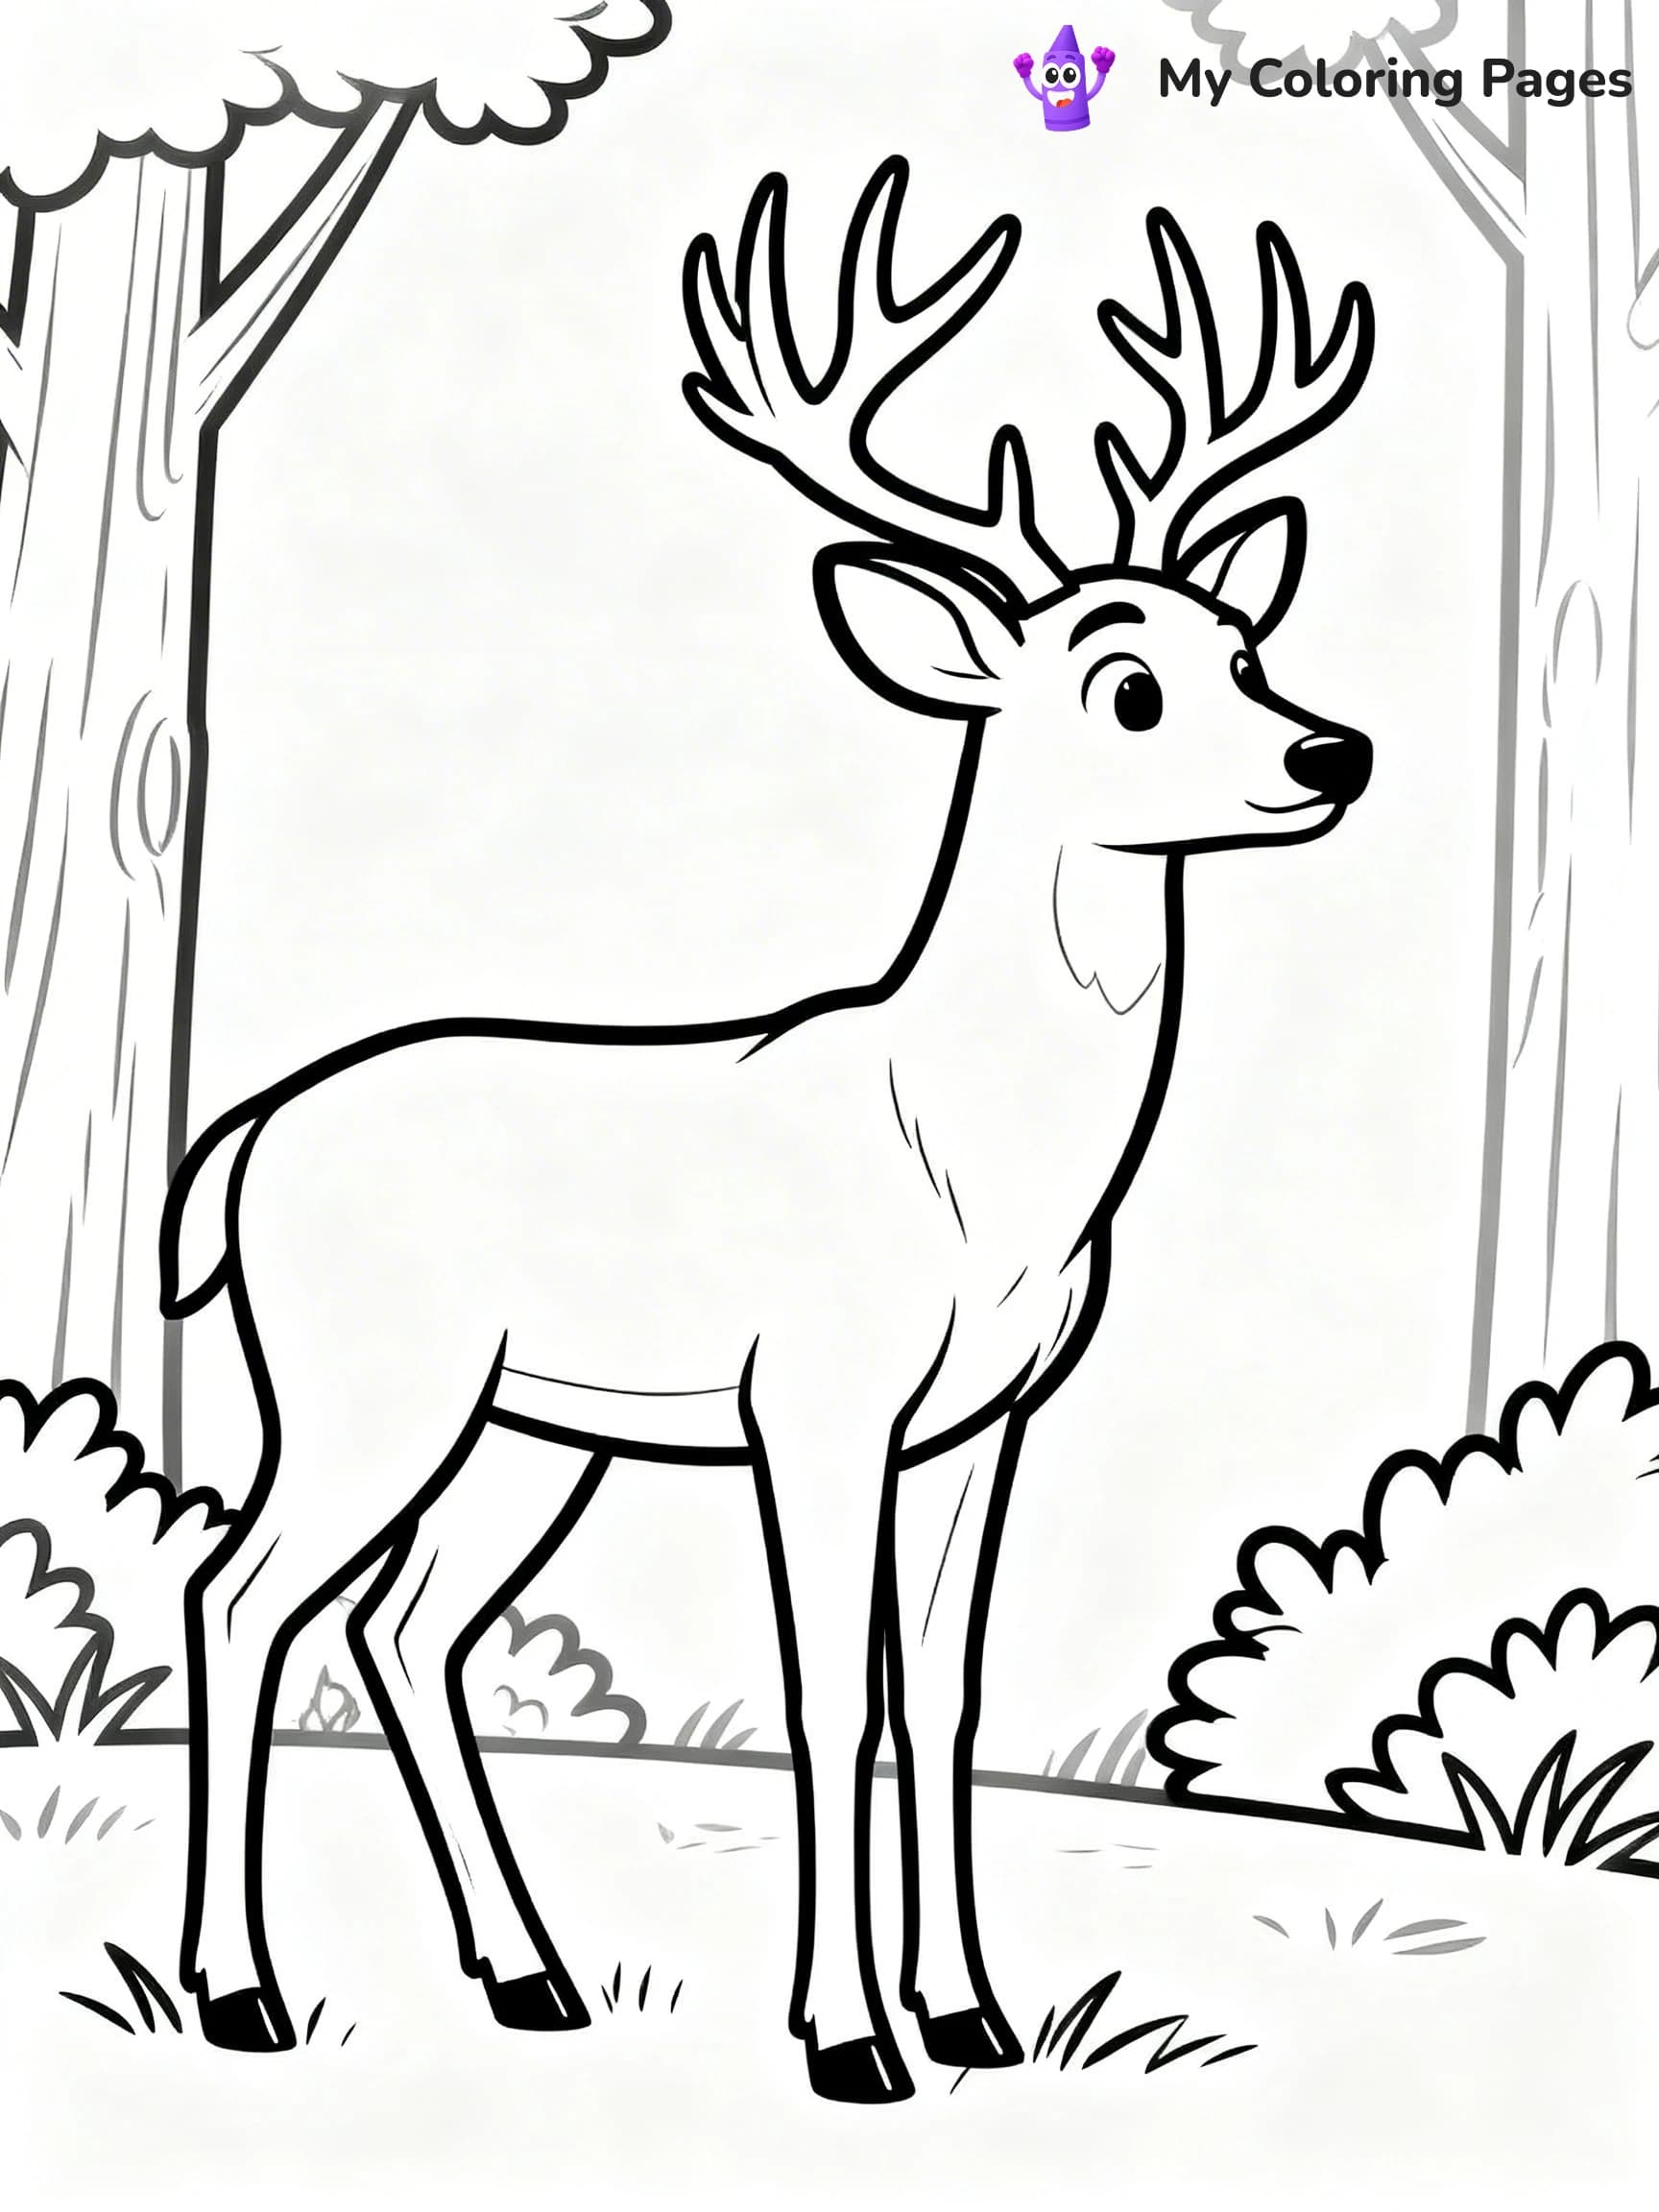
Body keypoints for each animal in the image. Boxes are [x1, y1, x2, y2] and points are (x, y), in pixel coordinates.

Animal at [162, 156, 1374, 2105]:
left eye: (1243, 641)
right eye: (1123, 683)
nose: (1332, 752)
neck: (981, 1169)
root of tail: (242, 1142)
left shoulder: (987, 1416)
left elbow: (940, 1694)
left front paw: (977, 2017)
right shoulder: (816, 1393)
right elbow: (824, 1693)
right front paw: (849, 2037)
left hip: (530, 1427)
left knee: (403, 1622)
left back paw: (530, 1978)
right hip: (366, 1374)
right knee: (239, 1593)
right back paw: (242, 1992)